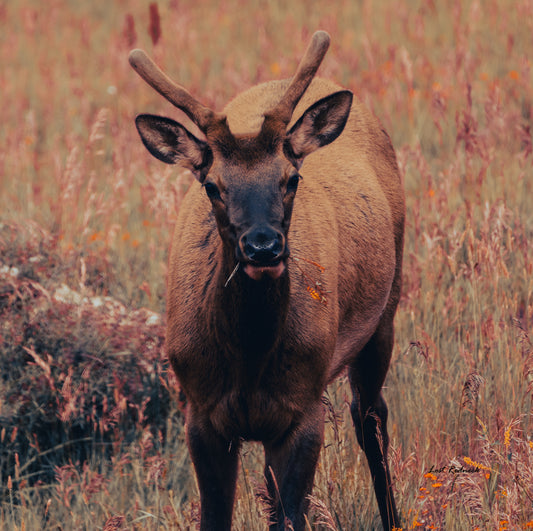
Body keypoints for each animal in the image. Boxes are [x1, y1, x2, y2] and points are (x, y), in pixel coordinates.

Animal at [129, 31, 404, 528]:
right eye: (212, 186)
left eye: (291, 178)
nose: (263, 248)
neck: (249, 360)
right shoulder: (200, 412)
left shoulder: (304, 408)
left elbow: (292, 516)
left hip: (386, 310)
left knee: (371, 418)